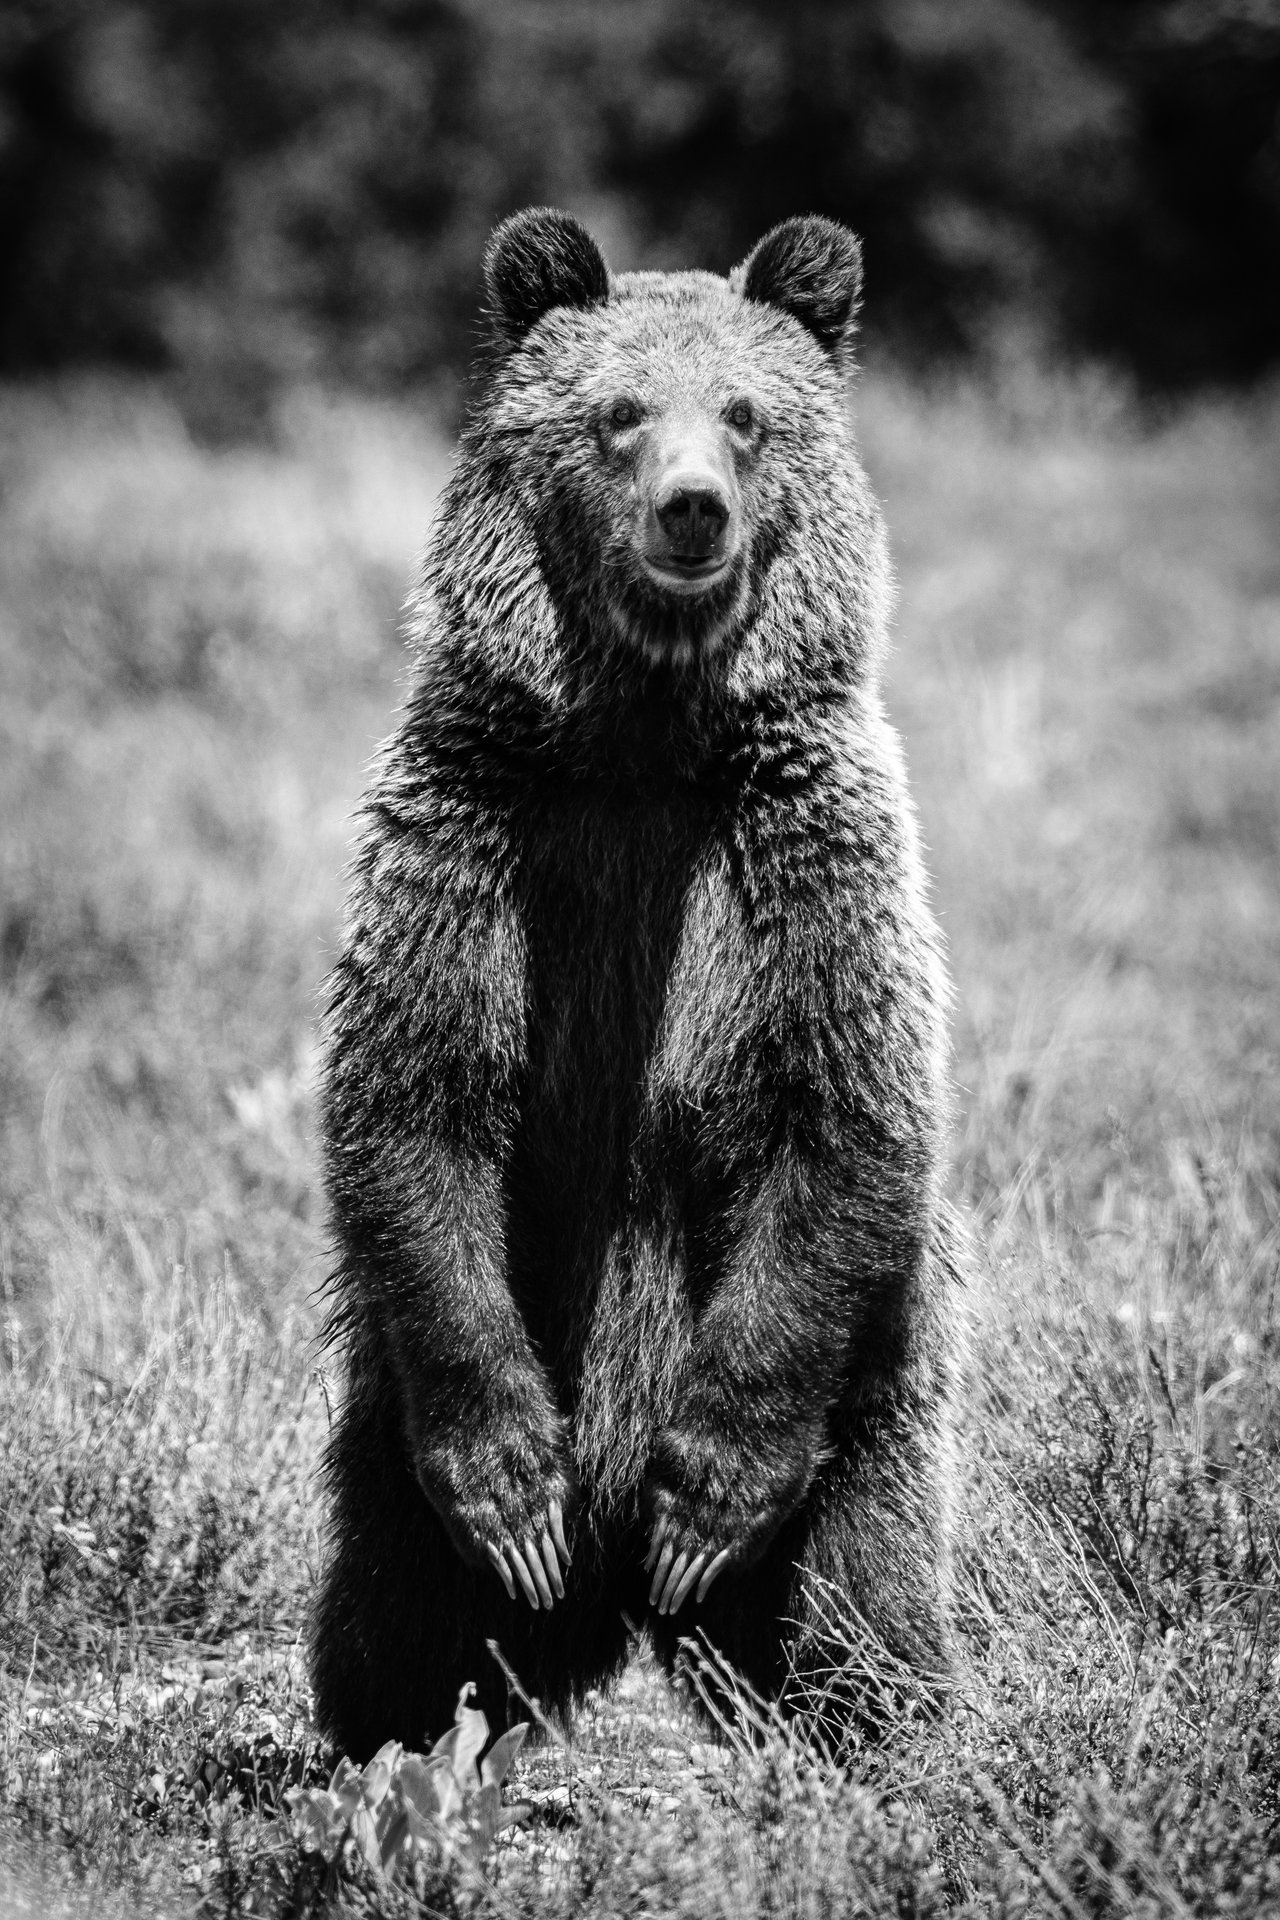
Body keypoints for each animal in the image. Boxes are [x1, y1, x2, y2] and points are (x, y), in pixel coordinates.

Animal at [310, 205, 964, 1762]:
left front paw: (705, 1499)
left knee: (862, 1590)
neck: (644, 742)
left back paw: (875, 1727)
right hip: (383, 1441)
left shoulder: (802, 863)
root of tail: (613, 1617)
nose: (691, 512)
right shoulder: (478, 841)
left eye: (746, 415)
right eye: (615, 414)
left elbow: (843, 1120)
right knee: (391, 1609)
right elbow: (412, 1096)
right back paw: (401, 1730)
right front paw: (512, 1492)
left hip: (875, 1415)